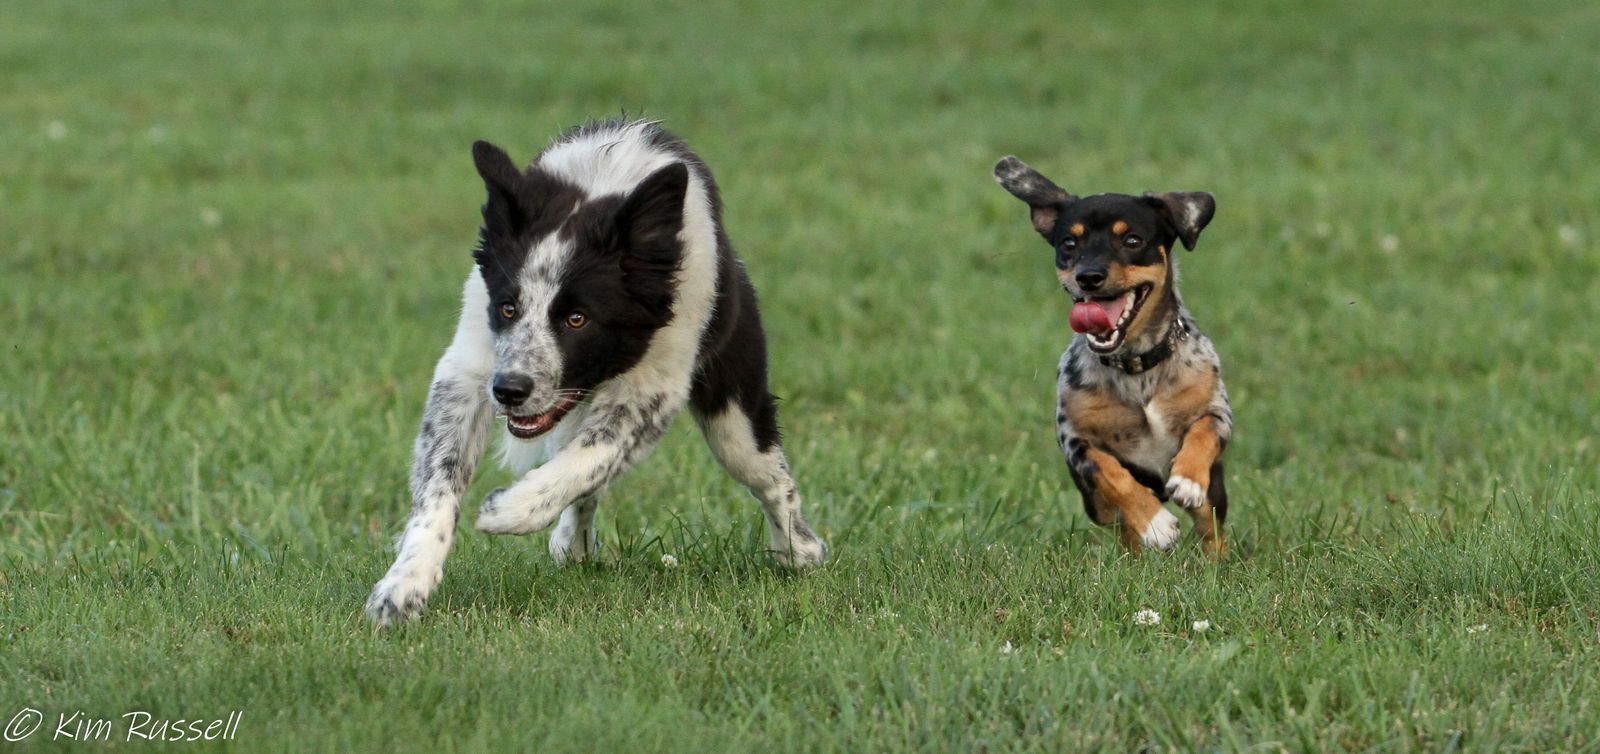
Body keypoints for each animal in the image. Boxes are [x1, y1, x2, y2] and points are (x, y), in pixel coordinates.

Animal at [366, 119, 827, 626]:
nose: (510, 391)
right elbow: (440, 481)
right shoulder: (469, 369)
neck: (597, 190)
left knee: (769, 477)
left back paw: (800, 552)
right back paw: (574, 546)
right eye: (507, 308)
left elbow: (589, 459)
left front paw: (508, 510)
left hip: (735, 412)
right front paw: (403, 586)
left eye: (577, 319)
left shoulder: (654, 386)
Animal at [993, 156, 1232, 555]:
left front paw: (1187, 479)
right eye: (1069, 243)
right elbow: (1108, 471)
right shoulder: (1075, 440)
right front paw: (1155, 524)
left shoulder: (1217, 411)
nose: (1088, 276)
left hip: (1215, 498)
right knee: (1121, 526)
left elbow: (1204, 432)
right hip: (1097, 507)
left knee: (1211, 529)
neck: (1136, 368)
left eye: (1132, 240)